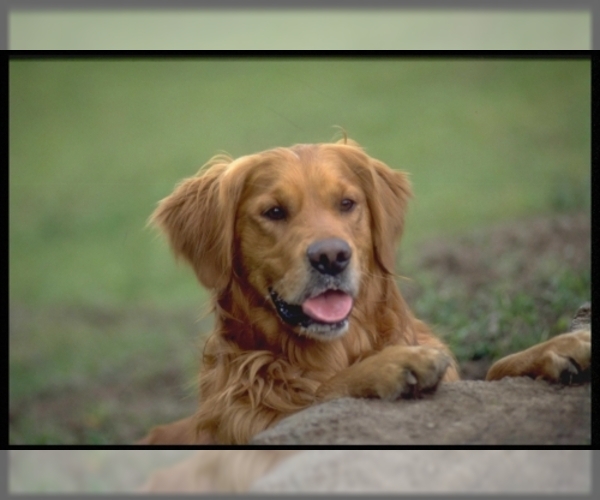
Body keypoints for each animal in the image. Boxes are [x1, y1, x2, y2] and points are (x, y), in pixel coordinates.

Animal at [139, 137, 592, 446]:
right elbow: (325, 391)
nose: (331, 257)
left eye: (346, 203)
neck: (334, 350)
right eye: (274, 212)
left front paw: (560, 346)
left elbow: (497, 368)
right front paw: (391, 364)